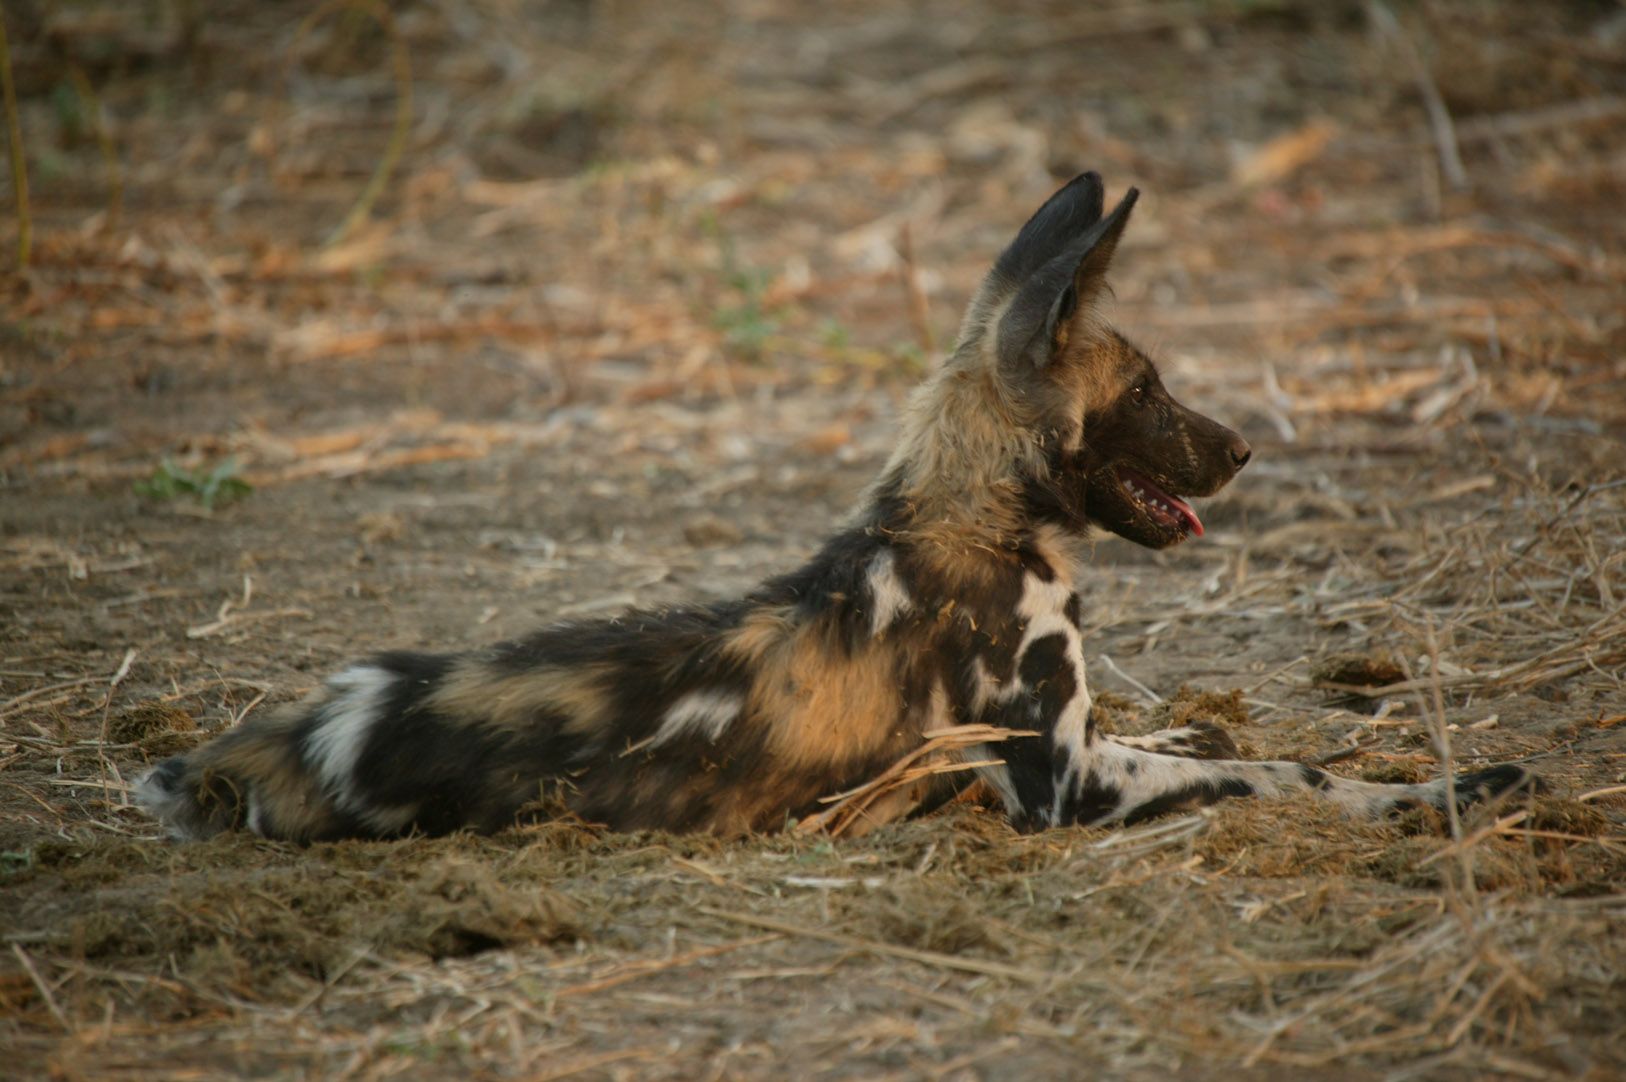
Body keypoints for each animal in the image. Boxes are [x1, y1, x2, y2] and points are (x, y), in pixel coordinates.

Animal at [139, 173, 1534, 839]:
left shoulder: (1087, 742)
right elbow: (1288, 771)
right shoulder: (1065, 787)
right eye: (1148, 389)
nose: (1243, 448)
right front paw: (1439, 792)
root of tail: (309, 728)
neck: (974, 516)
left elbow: (1206, 740)